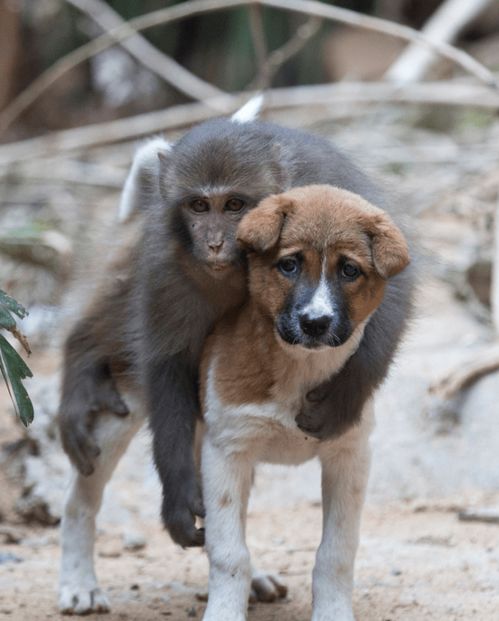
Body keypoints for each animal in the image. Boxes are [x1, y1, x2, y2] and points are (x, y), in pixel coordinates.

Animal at [58, 111, 414, 552]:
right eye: (198, 205)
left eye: (234, 205)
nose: (213, 243)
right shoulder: (167, 257)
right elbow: (168, 362)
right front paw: (178, 494)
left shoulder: (333, 196)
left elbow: (394, 285)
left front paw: (343, 397)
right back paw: (82, 358)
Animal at [199, 184, 410, 620]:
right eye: (290, 265)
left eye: (349, 271)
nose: (315, 322)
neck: (301, 366)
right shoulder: (226, 450)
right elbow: (228, 552)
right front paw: (224, 612)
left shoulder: (349, 455)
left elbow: (337, 552)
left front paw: (333, 612)